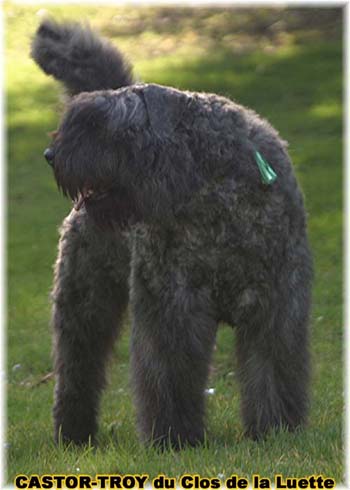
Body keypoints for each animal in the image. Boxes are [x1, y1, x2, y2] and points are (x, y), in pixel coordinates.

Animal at [31, 18, 314, 448]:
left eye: (98, 125)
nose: (51, 156)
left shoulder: (276, 304)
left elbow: (273, 368)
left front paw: (276, 429)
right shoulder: (172, 308)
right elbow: (169, 374)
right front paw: (173, 438)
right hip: (84, 302)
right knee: (78, 369)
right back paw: (73, 434)